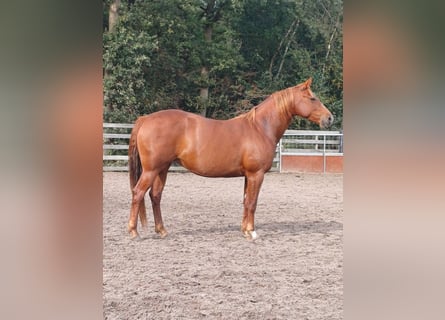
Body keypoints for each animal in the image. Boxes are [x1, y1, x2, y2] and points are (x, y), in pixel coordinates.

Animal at [126, 78, 332, 240]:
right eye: (312, 98)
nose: (330, 118)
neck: (260, 128)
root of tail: (145, 119)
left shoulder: (248, 176)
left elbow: (246, 201)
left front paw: (244, 230)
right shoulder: (256, 174)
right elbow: (252, 202)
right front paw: (252, 232)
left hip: (163, 169)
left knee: (155, 196)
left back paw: (161, 230)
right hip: (151, 170)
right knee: (138, 193)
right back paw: (133, 232)